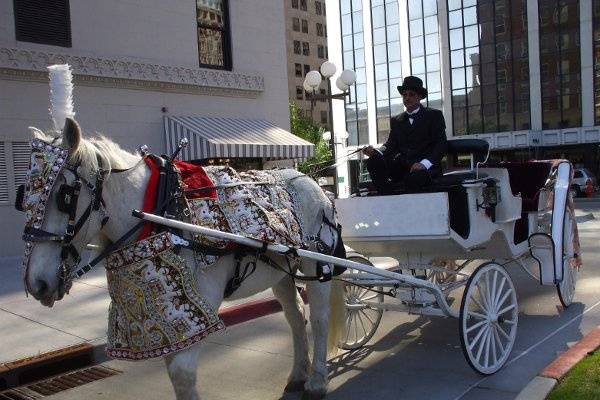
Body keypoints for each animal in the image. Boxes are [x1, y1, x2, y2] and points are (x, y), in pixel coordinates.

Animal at [21, 119, 344, 400]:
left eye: (65, 195)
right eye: (22, 196)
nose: (37, 284)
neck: (159, 211)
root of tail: (315, 184)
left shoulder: (197, 303)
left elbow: (181, 372)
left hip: (318, 263)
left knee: (319, 317)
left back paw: (316, 381)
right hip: (282, 271)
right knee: (295, 316)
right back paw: (298, 375)